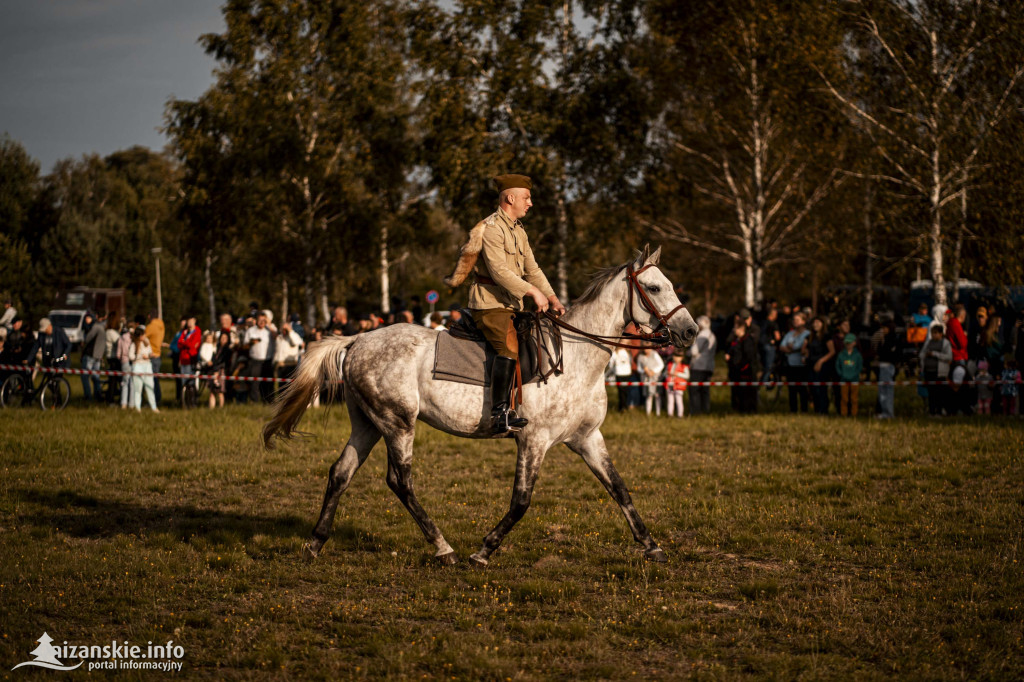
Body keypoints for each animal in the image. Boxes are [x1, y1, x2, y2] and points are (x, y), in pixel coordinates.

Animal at [260, 244, 700, 561]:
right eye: (655, 288)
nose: (691, 331)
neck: (578, 356)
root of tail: (357, 339)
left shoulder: (587, 438)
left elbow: (619, 489)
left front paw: (652, 546)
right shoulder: (534, 441)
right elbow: (521, 501)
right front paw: (484, 549)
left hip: (368, 423)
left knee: (340, 473)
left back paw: (315, 543)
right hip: (398, 423)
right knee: (399, 481)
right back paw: (444, 548)